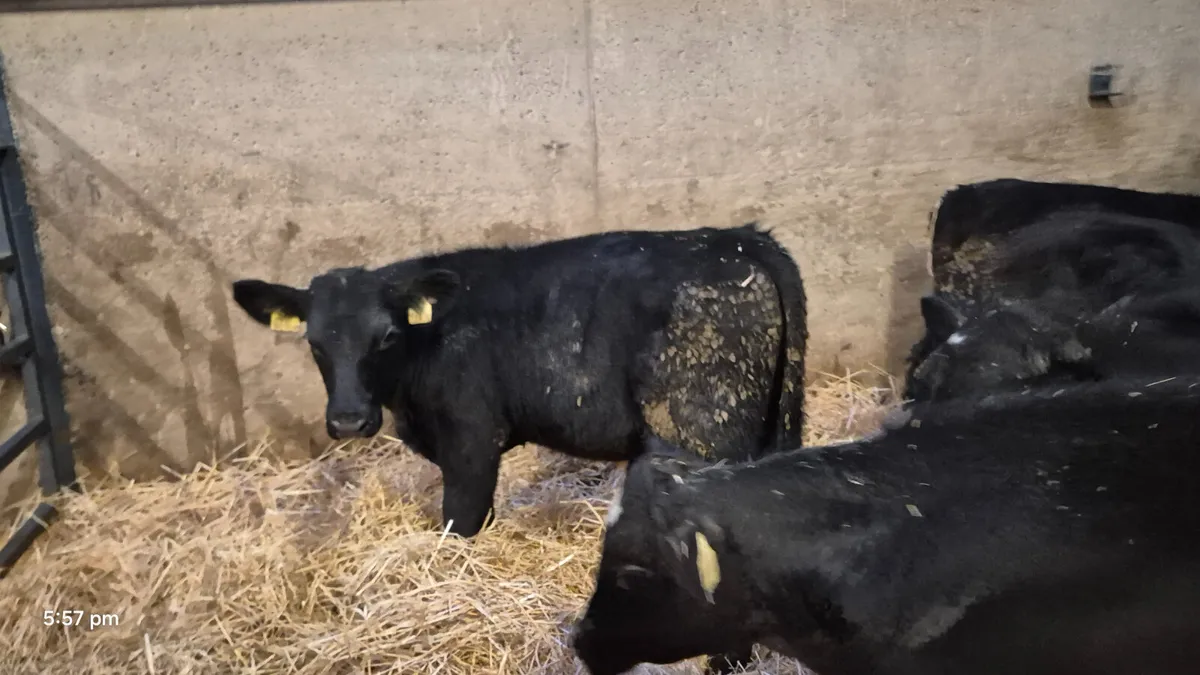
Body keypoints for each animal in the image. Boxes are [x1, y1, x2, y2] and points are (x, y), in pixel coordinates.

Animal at [231, 223, 807, 542]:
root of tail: (738, 239)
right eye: (314, 343)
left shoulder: (471, 439)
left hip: (699, 433)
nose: (349, 420)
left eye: (388, 335)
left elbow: (461, 520)